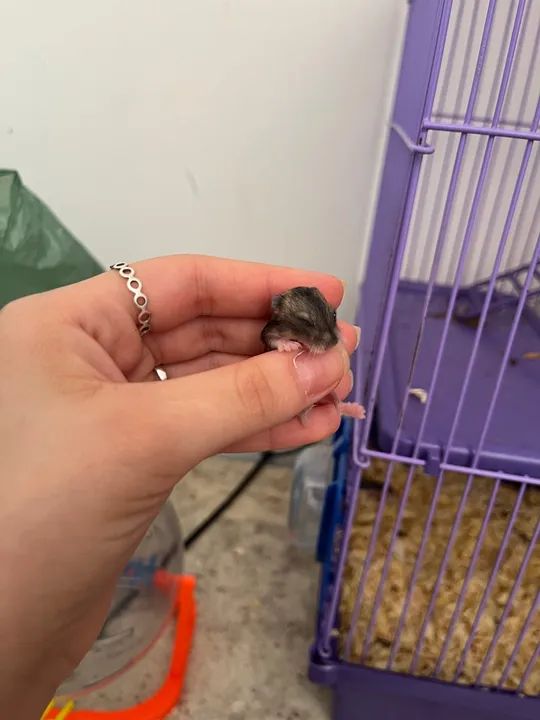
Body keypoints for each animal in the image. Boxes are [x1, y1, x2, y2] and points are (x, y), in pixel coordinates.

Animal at [261, 286, 365, 422]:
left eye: (334, 314)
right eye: (305, 321)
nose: (334, 343)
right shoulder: (269, 331)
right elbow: (273, 339)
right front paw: (290, 345)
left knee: (338, 405)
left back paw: (358, 411)